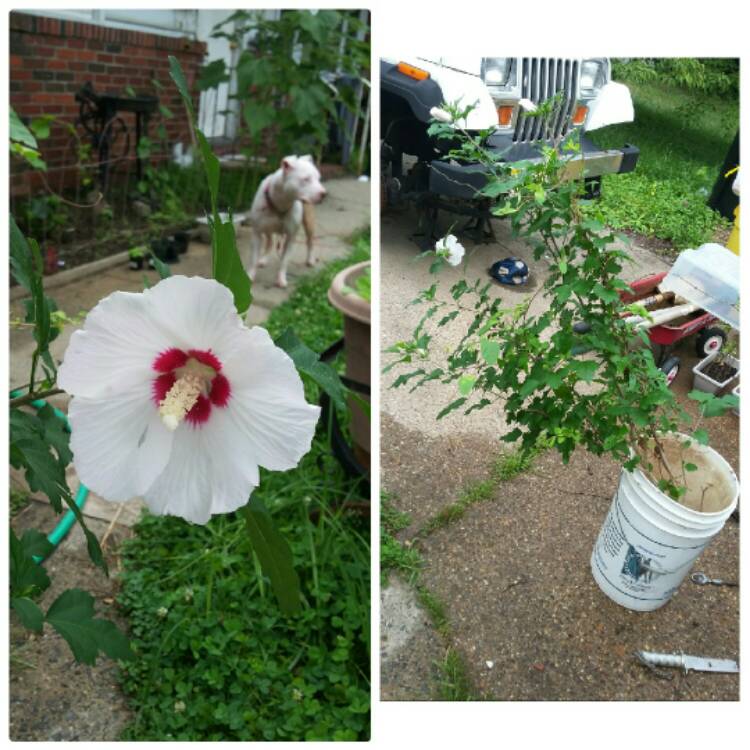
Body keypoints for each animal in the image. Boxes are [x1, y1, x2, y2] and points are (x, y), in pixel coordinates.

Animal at [245, 154, 328, 290]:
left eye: (318, 179)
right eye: (306, 179)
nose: (324, 194)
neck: (280, 204)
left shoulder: (290, 238)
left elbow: (284, 261)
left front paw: (281, 279)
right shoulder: (256, 233)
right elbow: (253, 258)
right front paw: (250, 276)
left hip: (309, 221)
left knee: (310, 241)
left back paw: (310, 259)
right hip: (267, 228)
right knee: (270, 242)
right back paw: (264, 259)